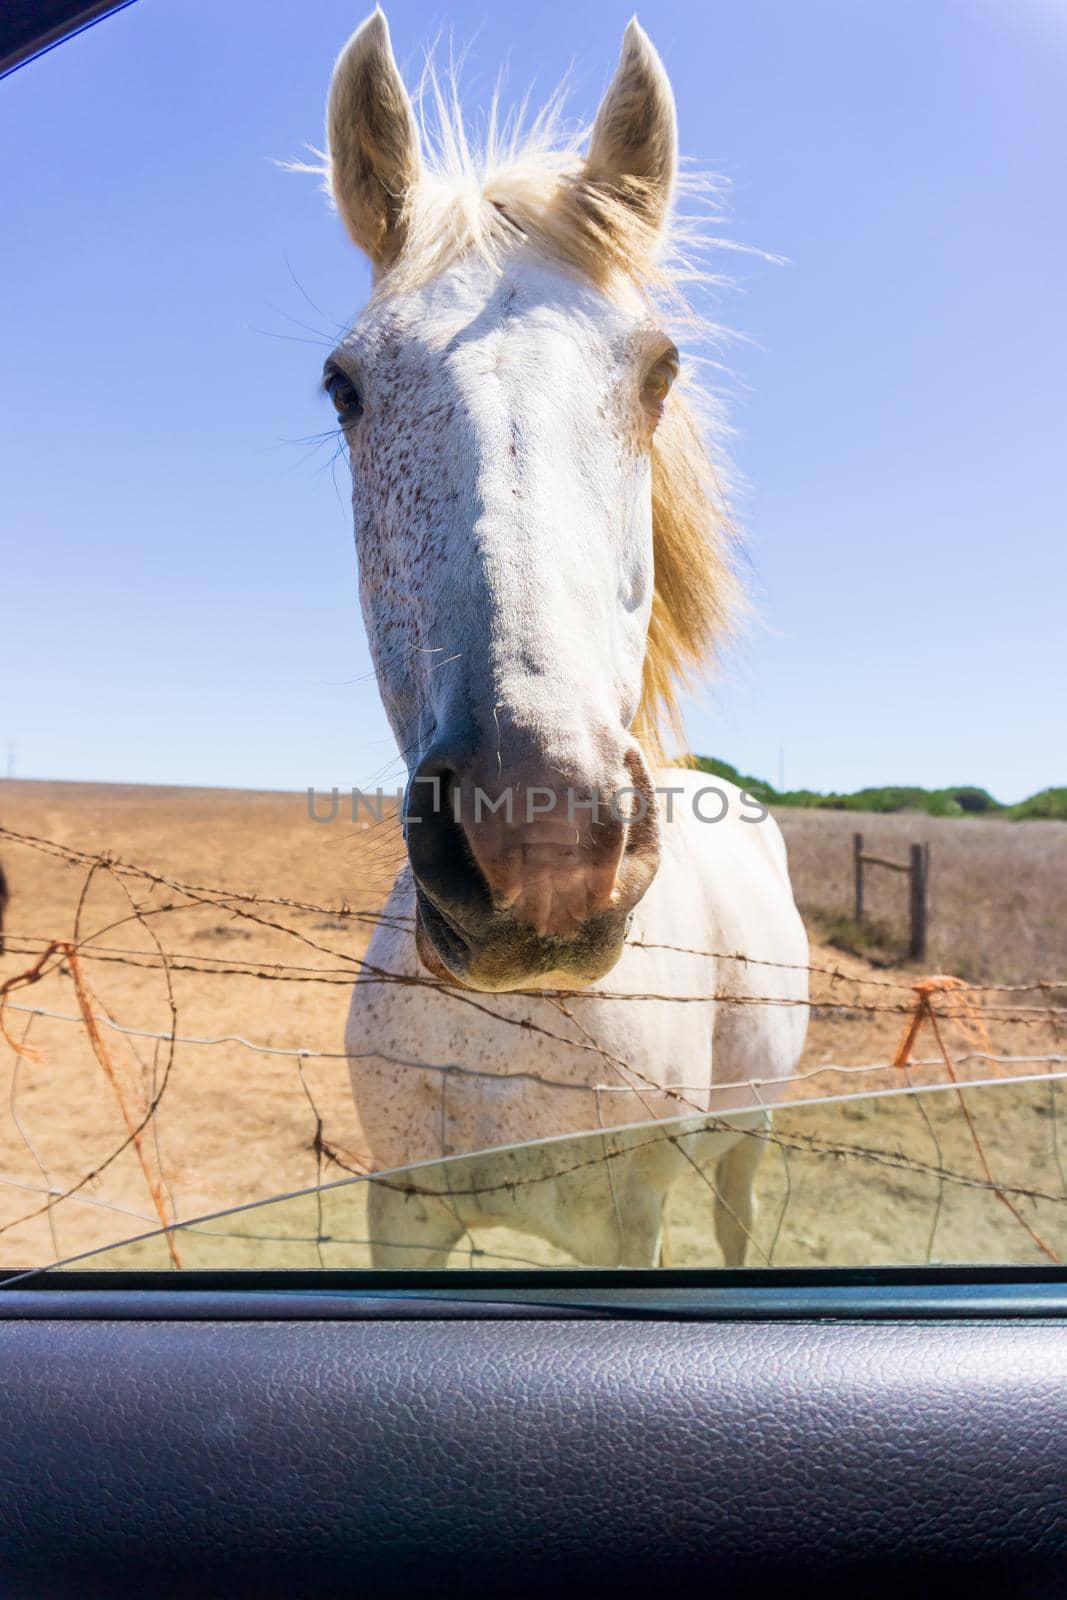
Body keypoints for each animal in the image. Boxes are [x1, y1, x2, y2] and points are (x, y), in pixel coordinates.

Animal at [319, 9, 809, 1260]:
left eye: (659, 373)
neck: (516, 1031)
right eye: (345, 387)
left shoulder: (629, 1222)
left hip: (747, 1144)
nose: (539, 846)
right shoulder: (398, 1209)